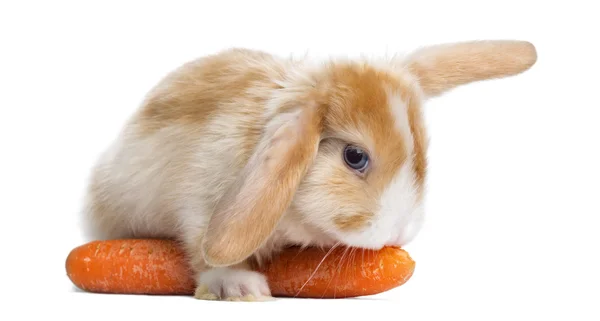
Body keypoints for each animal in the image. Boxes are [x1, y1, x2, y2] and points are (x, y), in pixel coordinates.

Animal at [81, 40, 540, 300]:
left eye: (421, 154)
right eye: (354, 156)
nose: (400, 232)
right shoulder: (199, 202)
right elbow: (200, 246)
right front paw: (240, 287)